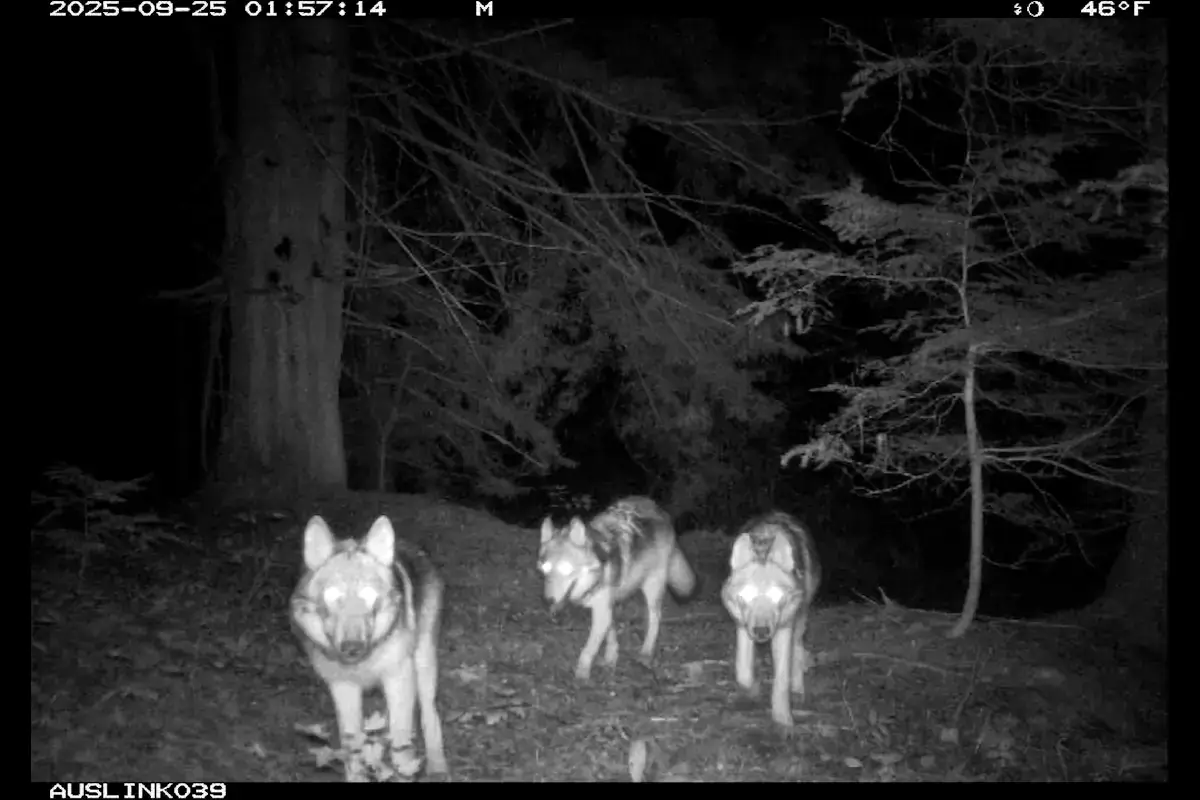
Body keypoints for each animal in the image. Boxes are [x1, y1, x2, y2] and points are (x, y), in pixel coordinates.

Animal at [291, 515, 448, 781]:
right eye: (334, 596)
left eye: (368, 595)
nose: (352, 647)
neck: (361, 664)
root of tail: (410, 546)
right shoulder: (342, 686)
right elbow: (352, 743)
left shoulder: (399, 677)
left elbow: (400, 741)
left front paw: (404, 772)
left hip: (423, 664)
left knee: (429, 714)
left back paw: (438, 768)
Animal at [539, 496, 697, 681]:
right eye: (545, 569)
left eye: (565, 569)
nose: (547, 600)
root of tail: (658, 509)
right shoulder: (606, 607)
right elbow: (611, 633)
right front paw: (611, 658)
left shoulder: (602, 610)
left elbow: (587, 651)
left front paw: (581, 677)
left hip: (652, 586)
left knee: (655, 618)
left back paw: (646, 652)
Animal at [720, 511, 821, 731]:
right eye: (748, 595)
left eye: (775, 595)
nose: (761, 631)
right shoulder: (743, 627)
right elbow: (743, 672)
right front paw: (752, 691)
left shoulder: (784, 629)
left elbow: (781, 680)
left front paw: (783, 720)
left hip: (799, 620)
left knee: (798, 650)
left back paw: (798, 688)